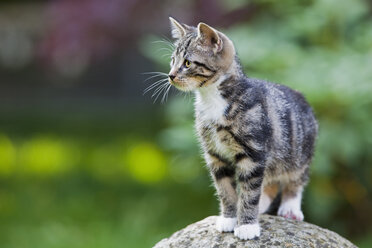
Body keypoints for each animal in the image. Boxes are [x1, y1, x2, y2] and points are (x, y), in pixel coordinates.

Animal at [167, 16, 318, 239]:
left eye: (187, 63)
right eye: (173, 60)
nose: (170, 75)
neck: (213, 99)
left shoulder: (253, 153)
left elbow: (249, 189)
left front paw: (247, 225)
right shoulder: (215, 155)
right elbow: (225, 189)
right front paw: (230, 218)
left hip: (298, 151)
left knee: (294, 178)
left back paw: (290, 207)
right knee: (269, 182)